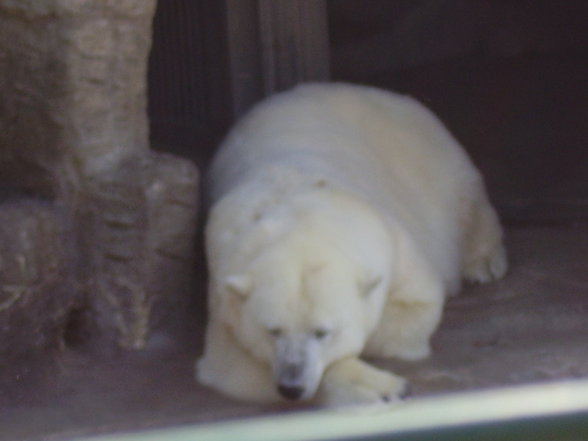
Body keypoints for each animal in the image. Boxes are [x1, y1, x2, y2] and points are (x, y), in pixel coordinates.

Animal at [195, 81, 508, 406]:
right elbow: (233, 366)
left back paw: (484, 264)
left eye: (322, 332)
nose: (291, 386)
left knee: (467, 199)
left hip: (432, 161)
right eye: (273, 330)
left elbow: (415, 306)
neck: (302, 217)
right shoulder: (223, 289)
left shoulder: (392, 244)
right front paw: (382, 387)